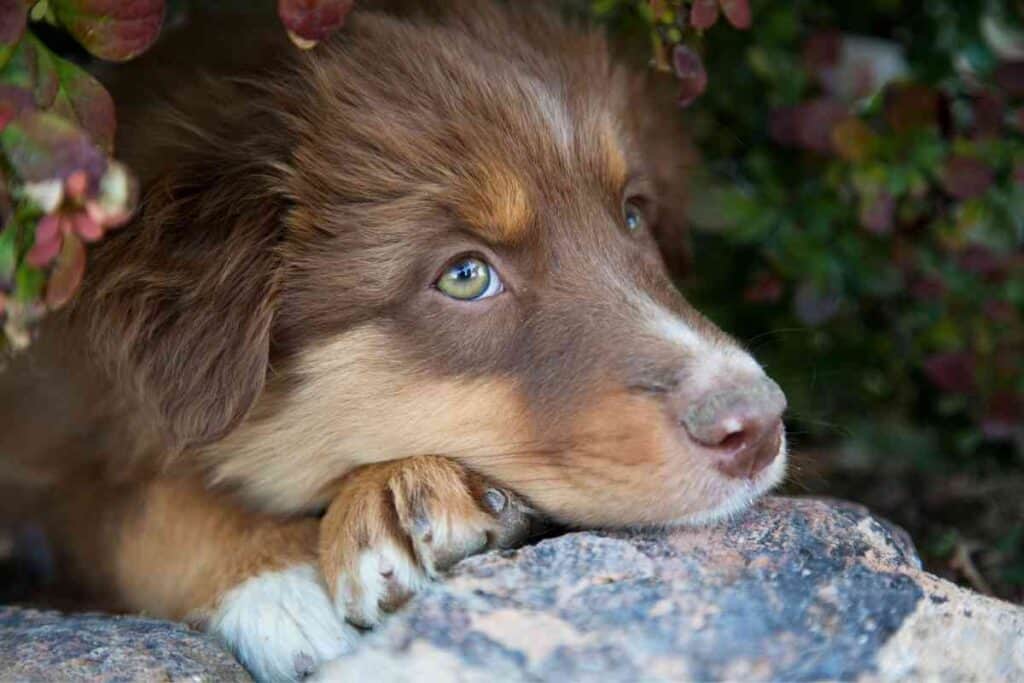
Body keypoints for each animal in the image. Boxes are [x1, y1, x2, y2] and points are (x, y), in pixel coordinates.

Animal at [0, 2, 786, 679]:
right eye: (466, 276)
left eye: (631, 216)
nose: (759, 426)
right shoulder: (40, 446)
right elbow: (132, 509)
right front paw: (278, 578)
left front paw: (400, 496)